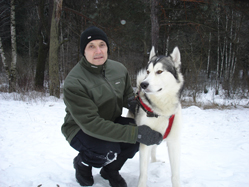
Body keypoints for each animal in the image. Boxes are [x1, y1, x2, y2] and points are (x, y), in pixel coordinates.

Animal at [132, 46, 183, 187]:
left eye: (159, 71)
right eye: (148, 71)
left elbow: (175, 175)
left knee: (154, 149)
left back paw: (155, 162)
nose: (143, 84)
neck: (162, 111)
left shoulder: (174, 142)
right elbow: (143, 174)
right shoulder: (146, 138)